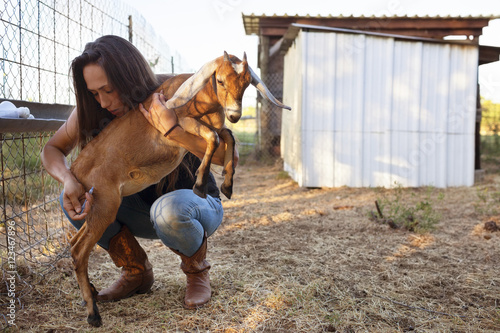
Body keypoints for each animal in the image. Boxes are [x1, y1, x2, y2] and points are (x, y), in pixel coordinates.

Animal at [68, 52, 292, 324]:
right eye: (220, 80)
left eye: (247, 82)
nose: (235, 114)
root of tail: (76, 169)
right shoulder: (184, 122)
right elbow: (214, 137)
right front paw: (199, 184)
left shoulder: (215, 125)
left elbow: (227, 135)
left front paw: (227, 184)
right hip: (105, 203)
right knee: (79, 251)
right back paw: (93, 314)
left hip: (95, 207)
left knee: (74, 243)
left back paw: (91, 293)